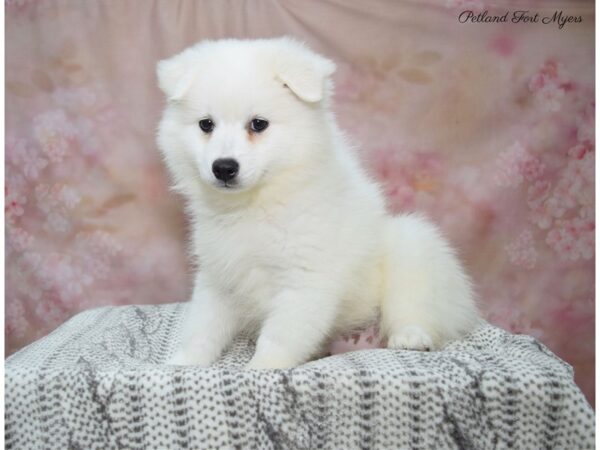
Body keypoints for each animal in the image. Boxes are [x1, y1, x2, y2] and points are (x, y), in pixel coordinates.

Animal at [157, 37, 480, 370]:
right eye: (206, 125)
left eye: (258, 124)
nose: (223, 167)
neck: (257, 202)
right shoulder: (219, 276)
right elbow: (203, 327)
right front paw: (182, 363)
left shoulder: (304, 279)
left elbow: (278, 336)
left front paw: (262, 368)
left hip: (411, 247)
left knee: (415, 306)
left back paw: (410, 337)